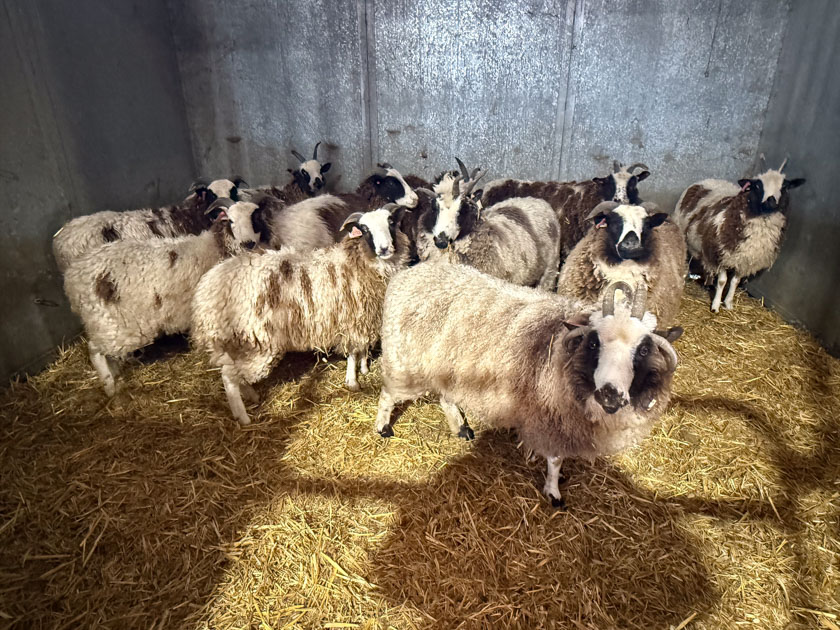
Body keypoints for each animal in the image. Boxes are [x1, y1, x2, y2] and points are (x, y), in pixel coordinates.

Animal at [63, 198, 266, 396]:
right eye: (230, 221)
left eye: (254, 219)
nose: (248, 243)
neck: (216, 247)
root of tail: (73, 278)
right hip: (110, 326)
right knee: (95, 351)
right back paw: (110, 387)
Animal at [191, 204, 411, 426]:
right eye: (364, 229)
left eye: (391, 222)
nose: (385, 249)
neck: (359, 260)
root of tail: (207, 292)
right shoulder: (352, 319)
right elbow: (352, 354)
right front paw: (353, 381)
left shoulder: (363, 318)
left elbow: (361, 349)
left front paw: (364, 368)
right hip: (255, 342)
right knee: (228, 377)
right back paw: (243, 417)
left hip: (239, 341)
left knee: (232, 371)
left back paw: (251, 396)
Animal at [374, 265, 682, 508]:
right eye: (593, 343)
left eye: (643, 350)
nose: (610, 393)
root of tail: (407, 274)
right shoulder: (550, 418)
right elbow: (555, 460)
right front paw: (553, 491)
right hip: (405, 364)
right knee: (388, 394)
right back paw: (383, 427)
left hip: (446, 369)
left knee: (445, 397)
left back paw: (460, 428)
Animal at [673, 157, 806, 312]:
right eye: (758, 186)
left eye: (784, 186)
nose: (771, 201)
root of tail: (709, 180)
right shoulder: (721, 255)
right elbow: (723, 281)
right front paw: (715, 306)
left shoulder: (745, 259)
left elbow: (735, 282)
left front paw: (728, 303)